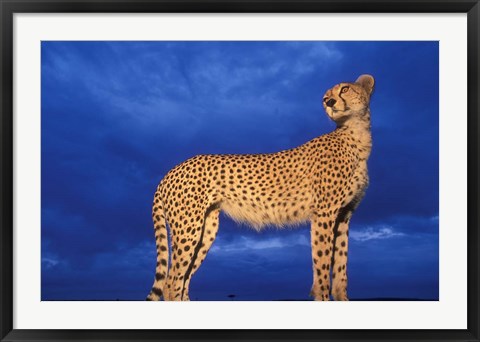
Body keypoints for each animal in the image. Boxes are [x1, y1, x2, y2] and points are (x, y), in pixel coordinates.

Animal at [146, 73, 376, 300]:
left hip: (206, 228)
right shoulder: (324, 213)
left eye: (344, 89)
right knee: (171, 283)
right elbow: (322, 264)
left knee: (183, 280)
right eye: (325, 97)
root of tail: (172, 170)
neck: (356, 136)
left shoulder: (344, 215)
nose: (329, 102)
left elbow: (340, 267)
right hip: (188, 228)